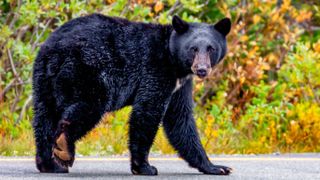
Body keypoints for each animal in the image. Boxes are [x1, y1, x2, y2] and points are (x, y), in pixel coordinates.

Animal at [32, 14, 231, 176]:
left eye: (211, 48)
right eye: (193, 48)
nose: (202, 69)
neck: (173, 61)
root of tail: (55, 48)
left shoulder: (180, 85)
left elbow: (179, 120)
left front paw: (215, 167)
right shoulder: (155, 70)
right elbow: (147, 111)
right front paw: (144, 167)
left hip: (43, 79)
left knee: (44, 118)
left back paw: (50, 164)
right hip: (87, 70)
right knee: (88, 106)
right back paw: (64, 147)